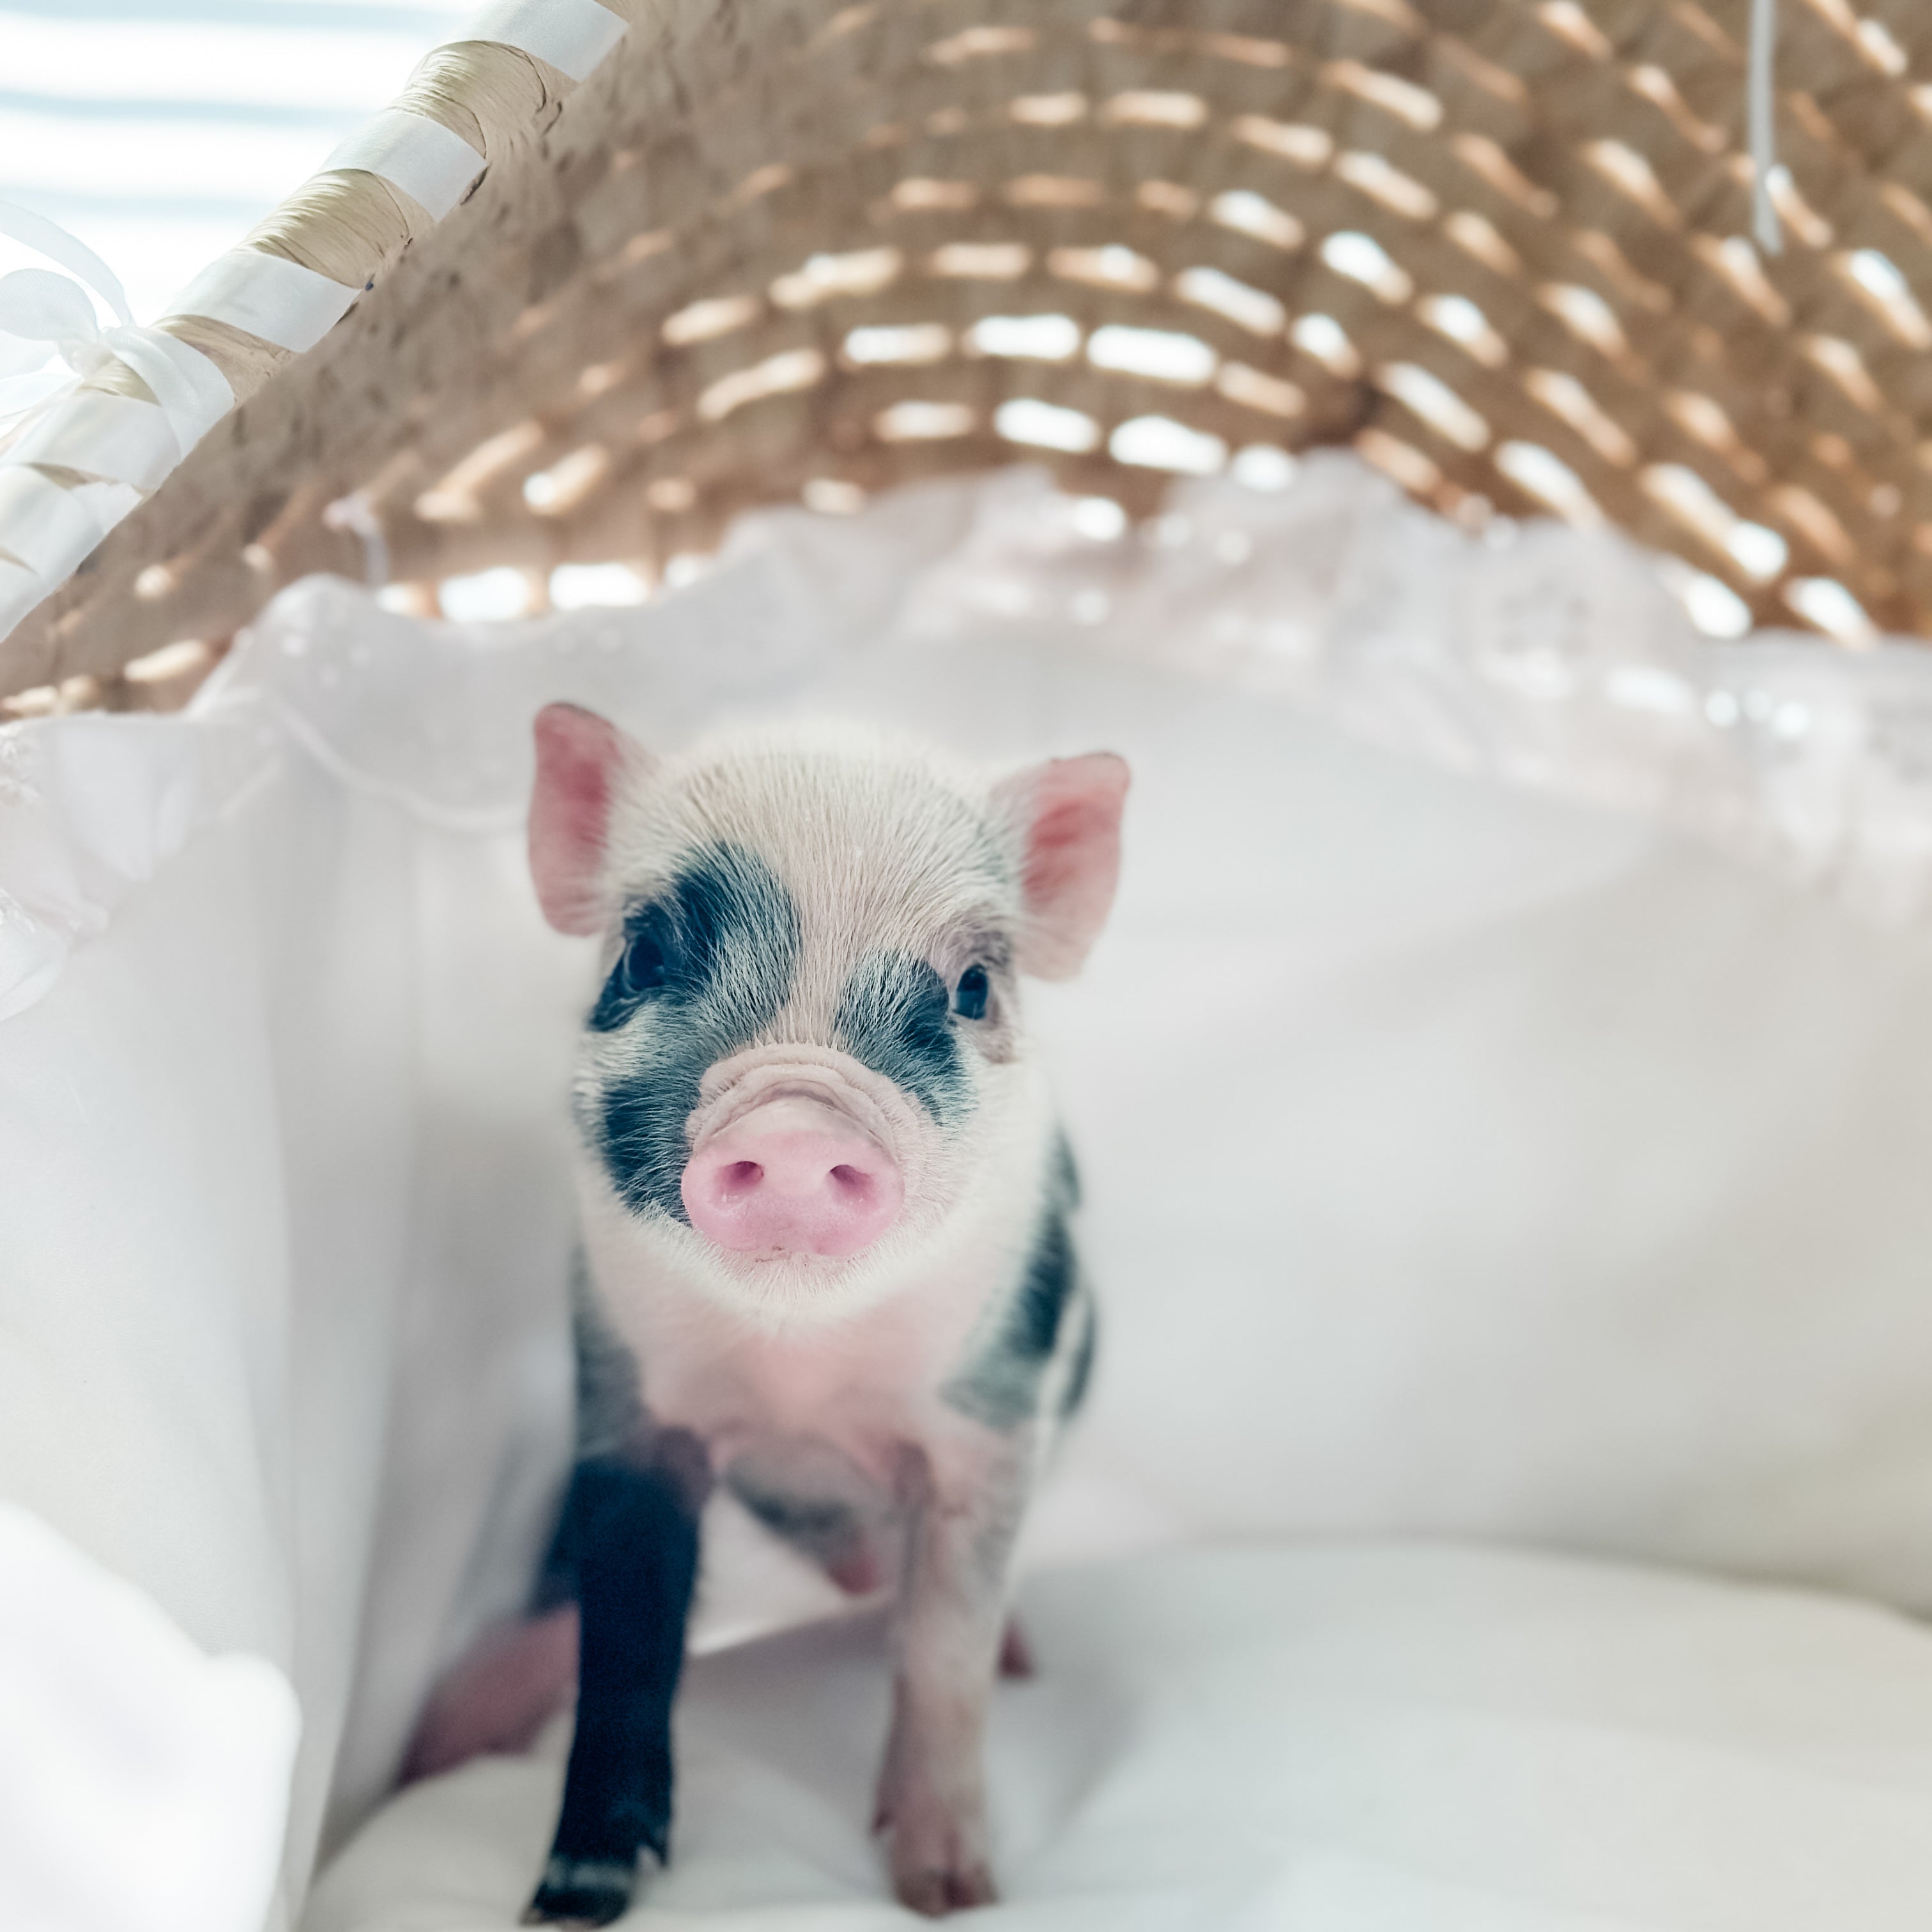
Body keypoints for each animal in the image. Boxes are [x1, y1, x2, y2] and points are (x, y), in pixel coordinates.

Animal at [519, 705, 1129, 1925]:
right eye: (643, 954)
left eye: (974, 986)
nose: (798, 1126)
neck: (801, 1382)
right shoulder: (623, 1404)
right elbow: (623, 1639)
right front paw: (566, 1900)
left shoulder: (991, 1428)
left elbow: (945, 1651)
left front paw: (950, 1892)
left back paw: (1023, 1661)